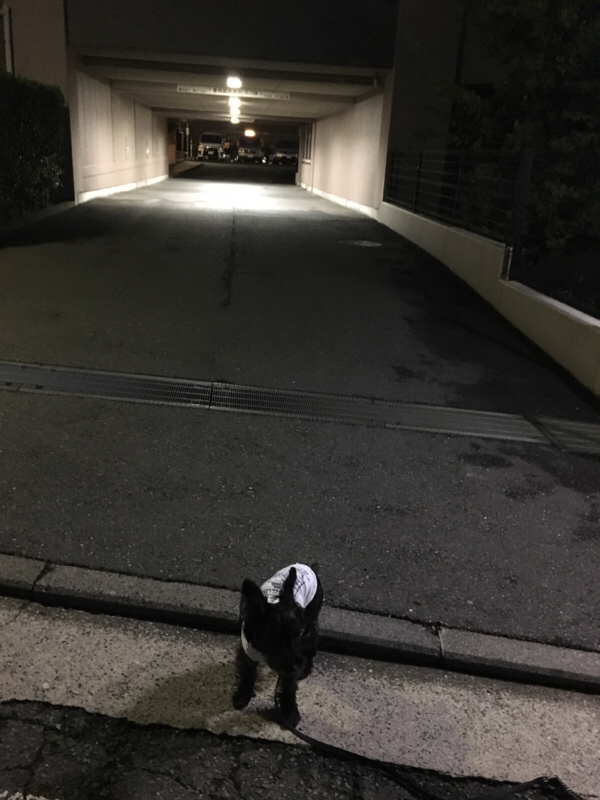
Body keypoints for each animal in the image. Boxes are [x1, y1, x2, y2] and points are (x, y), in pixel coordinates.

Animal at [232, 562, 323, 727]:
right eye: (272, 638)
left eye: (298, 633)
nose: (297, 665)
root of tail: (310, 567)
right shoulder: (247, 652)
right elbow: (248, 671)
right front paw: (243, 694)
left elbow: (288, 686)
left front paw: (289, 710)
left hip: (312, 619)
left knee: (311, 646)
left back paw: (306, 668)